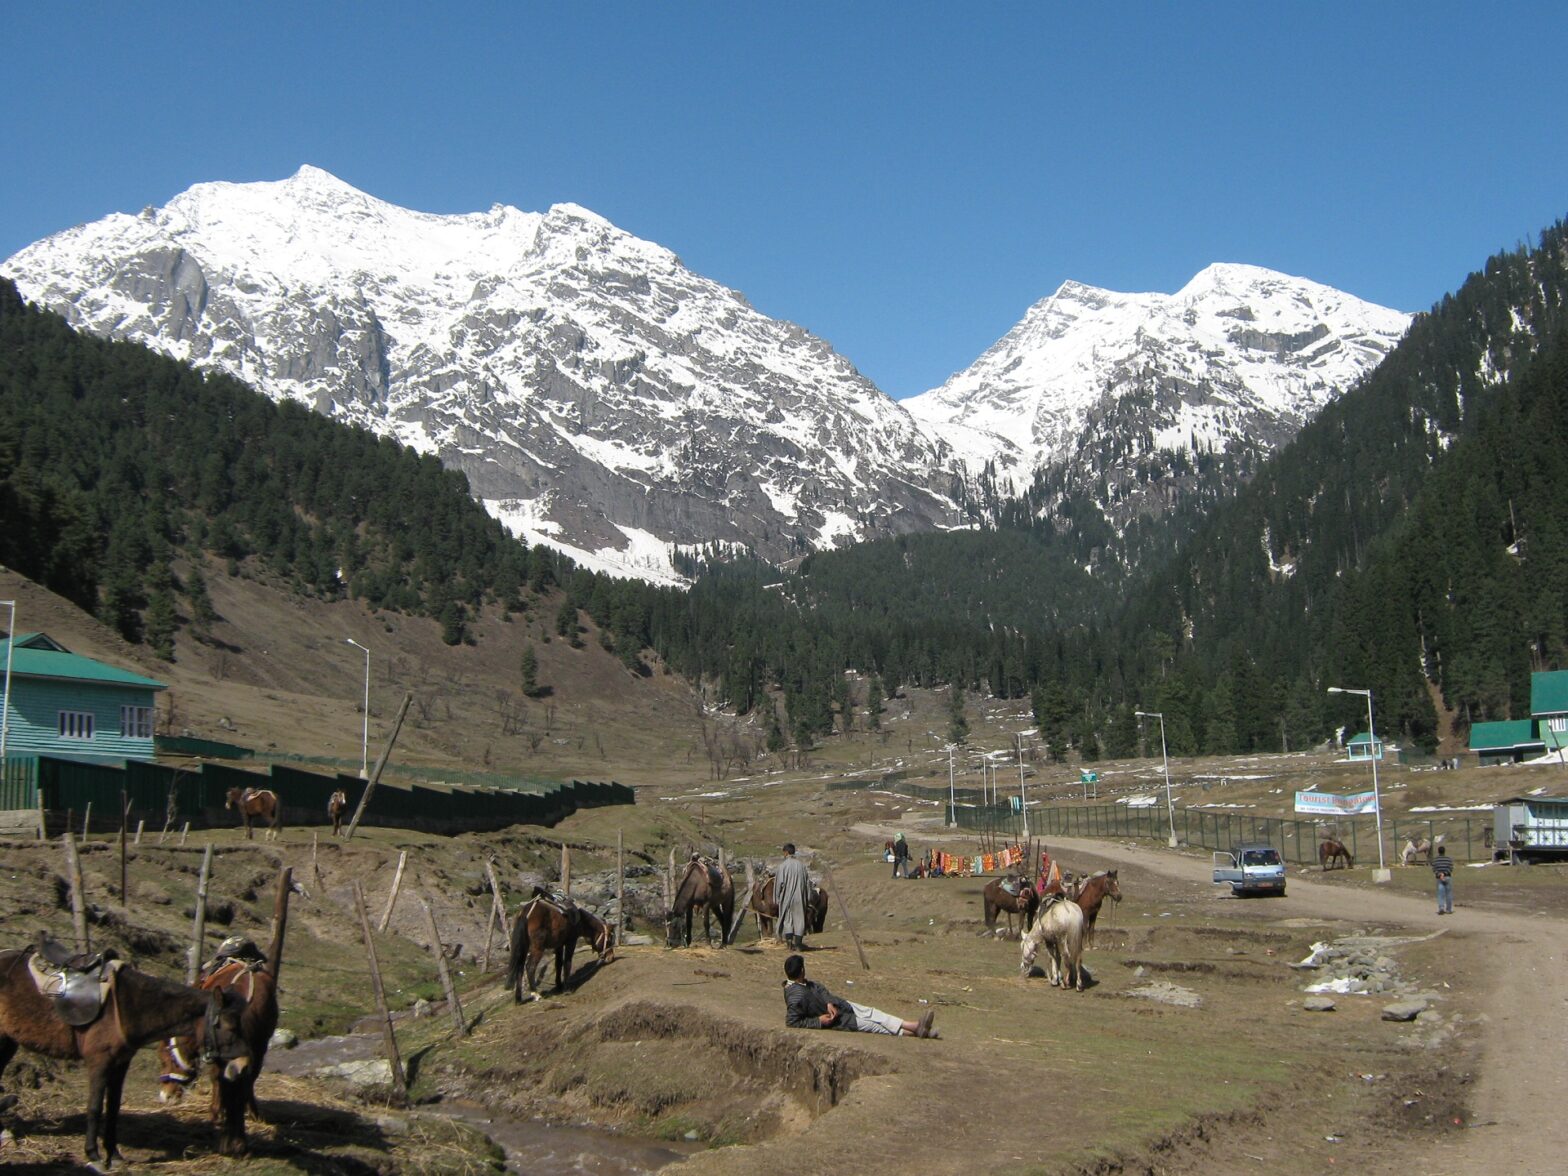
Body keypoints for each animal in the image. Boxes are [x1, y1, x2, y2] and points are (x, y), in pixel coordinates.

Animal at [0, 947, 250, 1166]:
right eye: (228, 1026)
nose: (243, 1065)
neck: (129, 1005)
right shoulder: (99, 1062)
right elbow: (95, 1107)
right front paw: (93, 1155)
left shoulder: (120, 1063)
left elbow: (113, 1108)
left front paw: (114, 1155)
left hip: (7, 1042)